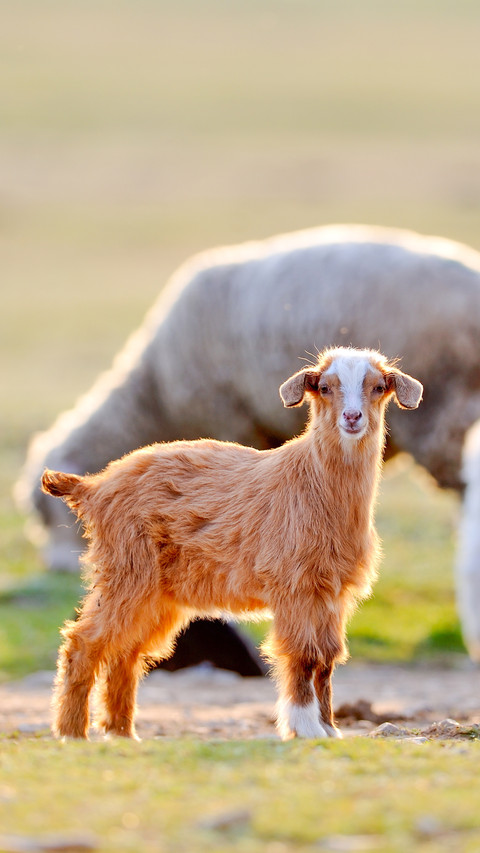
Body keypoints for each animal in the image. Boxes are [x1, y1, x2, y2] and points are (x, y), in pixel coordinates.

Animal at [41, 346, 422, 740]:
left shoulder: (333, 592)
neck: (312, 483)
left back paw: (122, 733)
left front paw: (330, 728)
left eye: (378, 387)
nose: (352, 417)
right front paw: (304, 727)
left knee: (127, 652)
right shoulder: (296, 586)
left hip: (159, 594)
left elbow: (328, 658)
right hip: (127, 572)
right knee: (84, 642)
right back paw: (72, 733)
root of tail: (95, 487)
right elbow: (303, 654)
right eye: (324, 388)